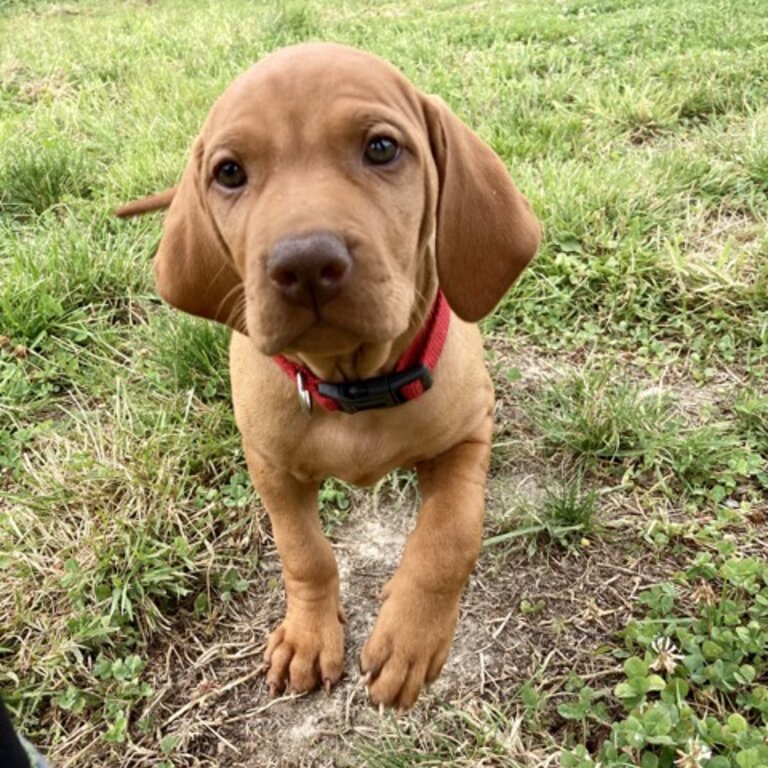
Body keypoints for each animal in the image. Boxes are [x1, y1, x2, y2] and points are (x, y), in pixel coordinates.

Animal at [120, 42, 540, 712]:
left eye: (382, 148)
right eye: (229, 173)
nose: (306, 264)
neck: (353, 383)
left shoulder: (468, 436)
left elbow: (450, 536)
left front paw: (410, 637)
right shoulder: (270, 465)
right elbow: (304, 551)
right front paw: (308, 637)